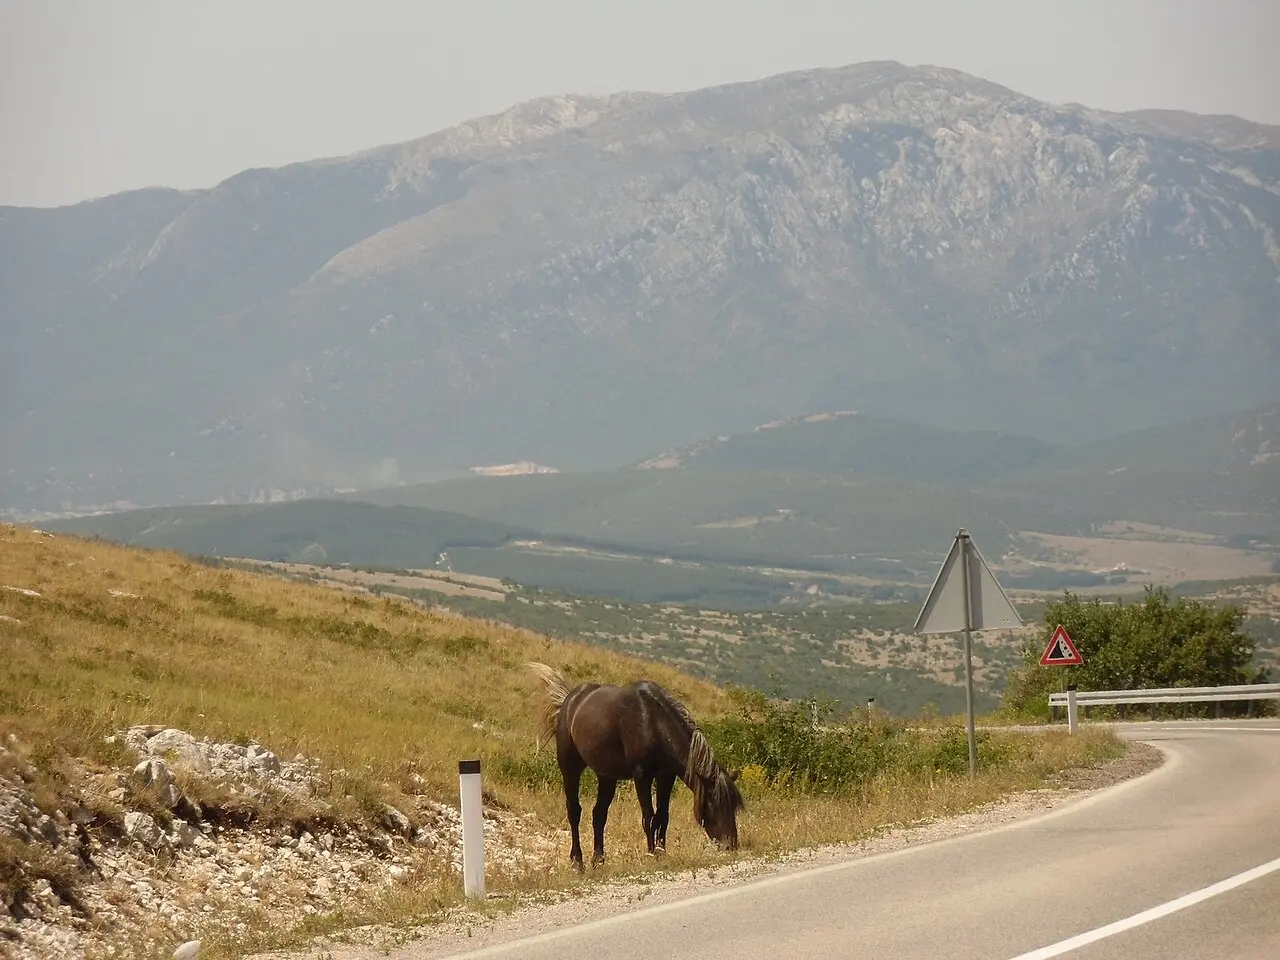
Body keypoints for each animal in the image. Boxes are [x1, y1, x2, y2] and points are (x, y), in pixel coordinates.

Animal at [527, 662, 744, 870]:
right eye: (714, 803)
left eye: (734, 805)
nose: (731, 845)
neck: (653, 722)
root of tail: (569, 700)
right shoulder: (642, 777)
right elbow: (648, 817)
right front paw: (651, 853)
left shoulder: (666, 777)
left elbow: (662, 816)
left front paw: (661, 852)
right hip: (570, 768)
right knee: (574, 811)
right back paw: (577, 862)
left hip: (606, 777)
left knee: (599, 814)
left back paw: (598, 860)